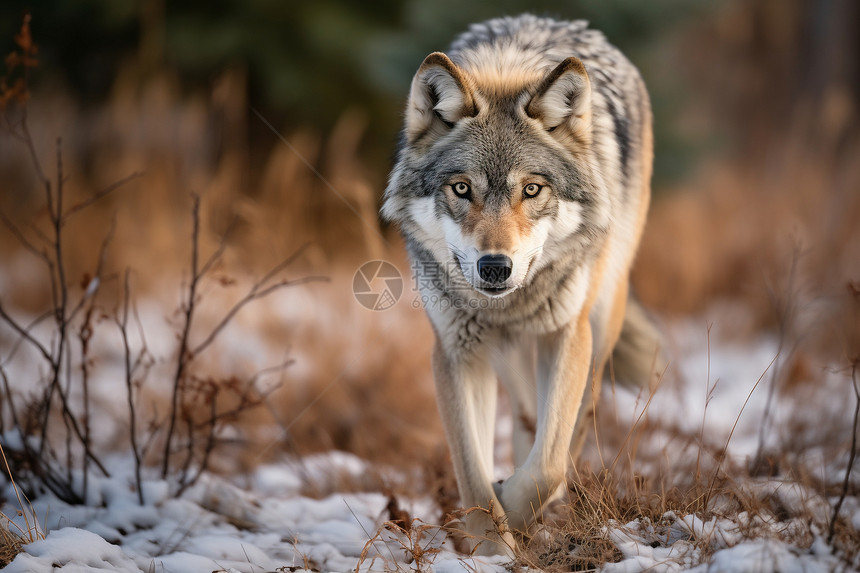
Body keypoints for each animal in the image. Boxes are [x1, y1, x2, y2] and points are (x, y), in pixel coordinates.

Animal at [382, 14, 660, 556]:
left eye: (531, 189)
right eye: (462, 188)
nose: (495, 267)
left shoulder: (568, 335)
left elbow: (548, 464)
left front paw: (513, 510)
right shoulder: (455, 353)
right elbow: (472, 473)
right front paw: (492, 547)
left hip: (599, 327)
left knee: (572, 425)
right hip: (507, 355)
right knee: (529, 416)